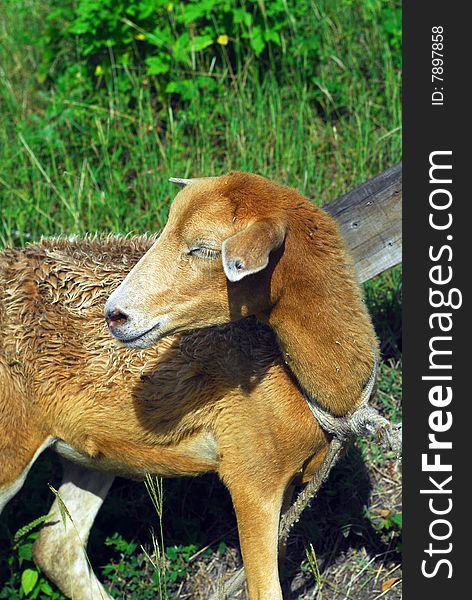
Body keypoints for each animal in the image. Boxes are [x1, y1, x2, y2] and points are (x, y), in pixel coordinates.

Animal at [0, 233, 330, 600]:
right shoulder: (252, 480)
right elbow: (265, 587)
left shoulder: (286, 481)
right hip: (12, 456)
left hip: (93, 459)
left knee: (55, 547)